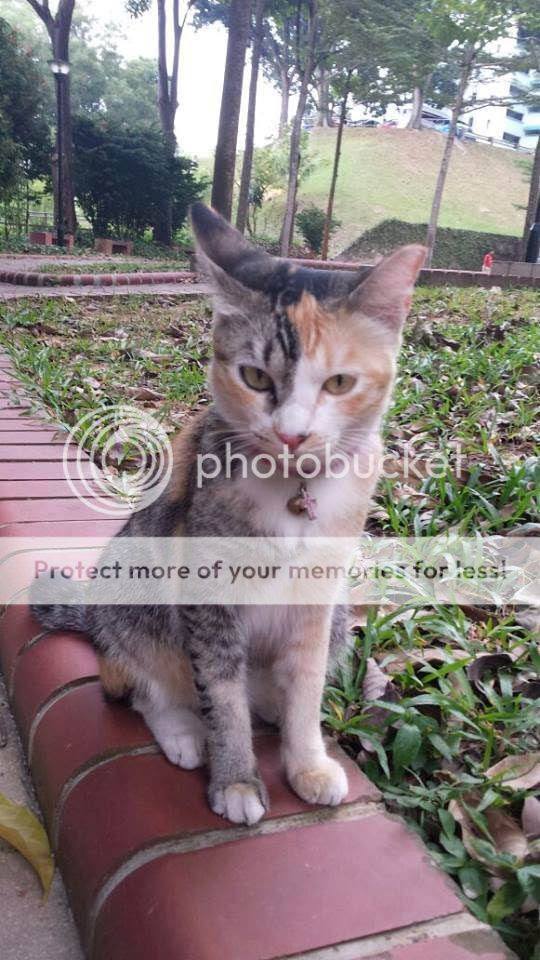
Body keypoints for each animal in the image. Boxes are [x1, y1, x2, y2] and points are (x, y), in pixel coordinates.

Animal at [31, 202, 425, 826]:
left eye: (339, 382)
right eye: (255, 377)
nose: (292, 434)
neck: (292, 492)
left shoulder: (320, 592)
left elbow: (306, 681)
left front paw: (306, 760)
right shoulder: (207, 592)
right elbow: (221, 694)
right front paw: (237, 780)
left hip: (339, 613)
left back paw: (271, 704)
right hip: (134, 593)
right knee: (136, 681)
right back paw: (183, 730)